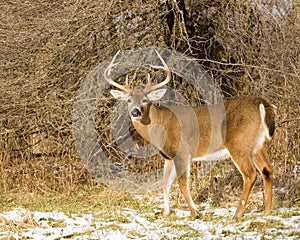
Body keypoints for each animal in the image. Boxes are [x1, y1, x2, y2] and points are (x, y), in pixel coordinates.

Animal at [103, 49, 276, 220]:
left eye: (145, 100)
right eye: (128, 100)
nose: (135, 112)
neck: (159, 126)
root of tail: (261, 103)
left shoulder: (182, 152)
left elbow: (182, 184)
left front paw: (195, 213)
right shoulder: (168, 157)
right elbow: (165, 184)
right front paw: (165, 214)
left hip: (238, 143)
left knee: (250, 174)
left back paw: (237, 215)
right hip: (258, 145)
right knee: (267, 170)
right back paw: (267, 212)